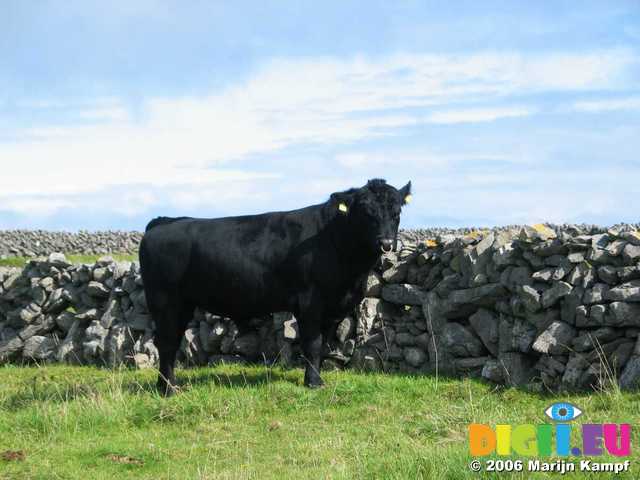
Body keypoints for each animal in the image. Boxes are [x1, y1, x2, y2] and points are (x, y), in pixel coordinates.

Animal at [139, 178, 410, 396]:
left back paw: (168, 385)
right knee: (166, 343)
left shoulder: (334, 306)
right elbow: (312, 344)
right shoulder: (310, 301)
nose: (387, 243)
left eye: (397, 212)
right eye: (366, 212)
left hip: (182, 304)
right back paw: (168, 390)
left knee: (171, 342)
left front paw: (317, 379)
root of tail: (164, 222)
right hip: (164, 301)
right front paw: (313, 383)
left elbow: (323, 345)